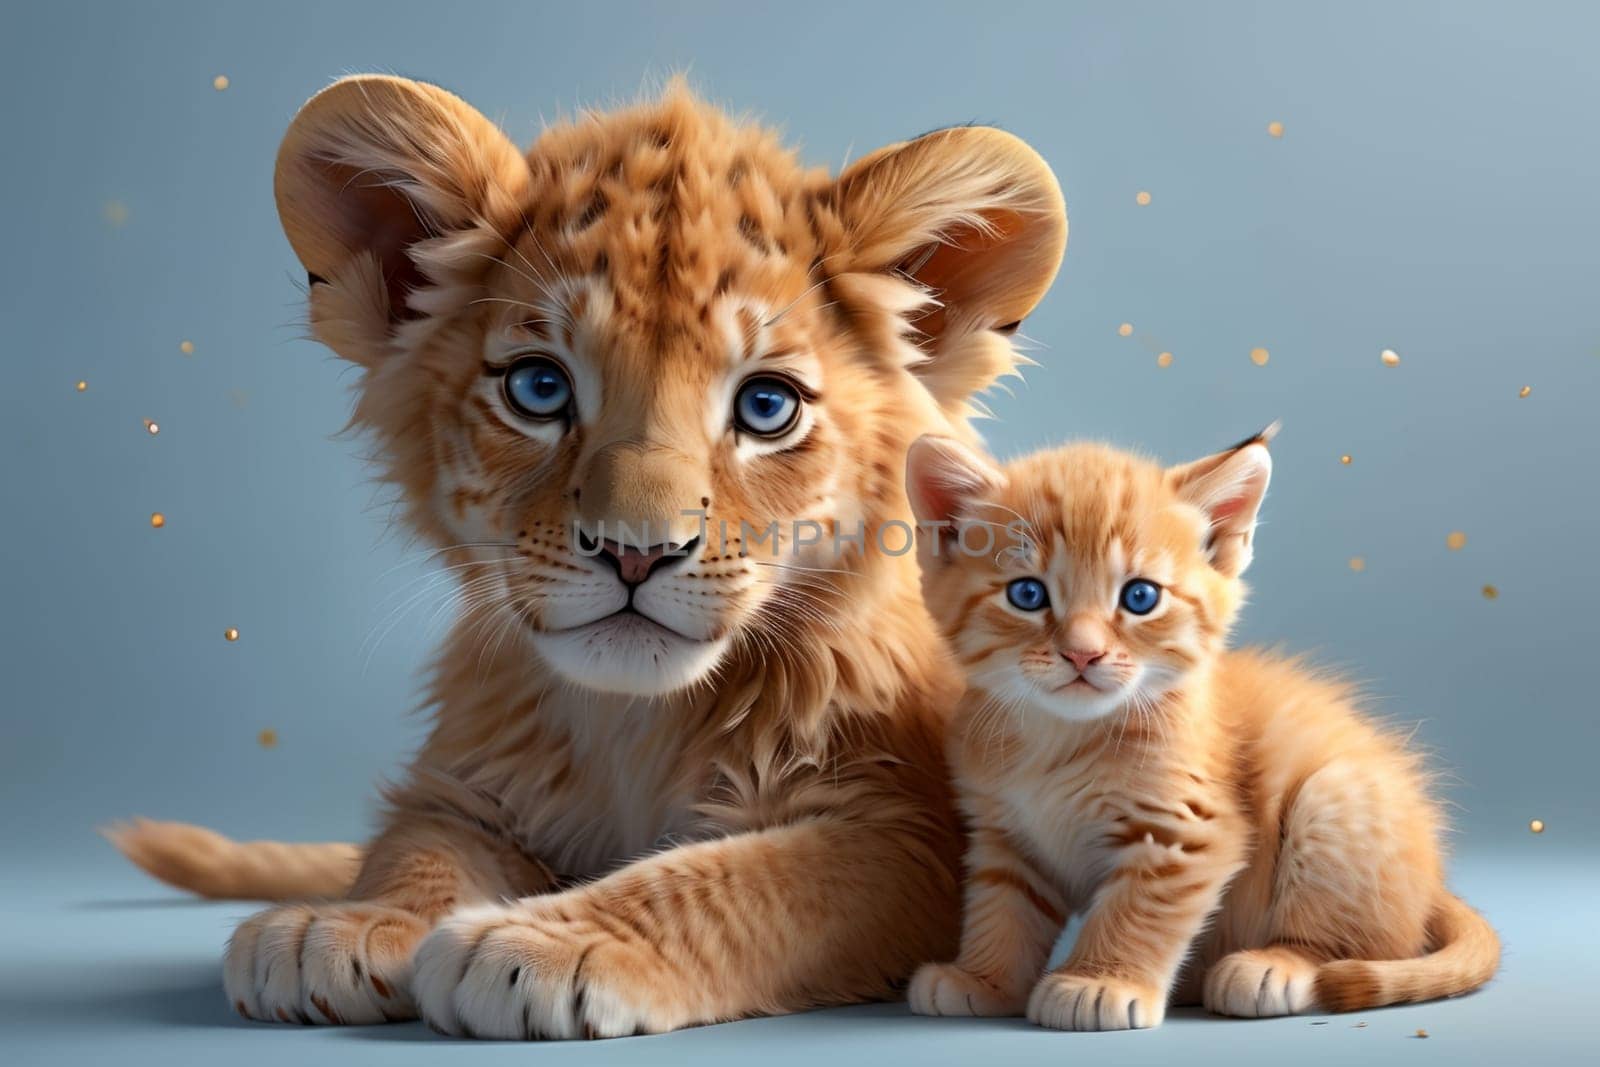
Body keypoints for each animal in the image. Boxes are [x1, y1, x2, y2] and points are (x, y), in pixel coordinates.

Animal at [908, 428, 1491, 1030]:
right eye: (1027, 595)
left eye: (1140, 597)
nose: (1083, 653)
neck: (1058, 737)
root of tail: (1433, 883)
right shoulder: (1004, 836)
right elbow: (1002, 910)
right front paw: (985, 979)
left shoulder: (1186, 830)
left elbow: (1133, 911)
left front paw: (1098, 982)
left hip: (1334, 799)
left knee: (1347, 946)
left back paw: (1271, 966)